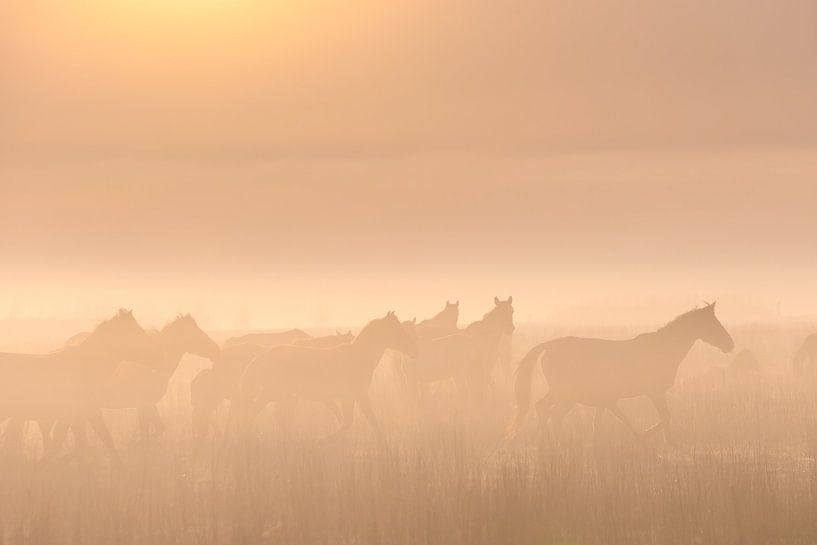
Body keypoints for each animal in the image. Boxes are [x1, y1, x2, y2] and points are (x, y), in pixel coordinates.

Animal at [0, 309, 153, 463]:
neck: (84, 367)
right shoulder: (82, 413)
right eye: (136, 332)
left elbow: (89, 443)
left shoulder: (83, 414)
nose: (155, 354)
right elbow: (80, 444)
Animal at [232, 311, 417, 441]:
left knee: (275, 417)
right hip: (272, 393)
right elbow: (348, 422)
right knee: (252, 411)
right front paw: (323, 441)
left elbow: (370, 420)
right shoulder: (351, 395)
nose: (414, 349)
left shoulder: (358, 395)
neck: (357, 358)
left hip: (281, 395)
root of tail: (262, 356)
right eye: (397, 330)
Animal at [509, 302, 734, 444]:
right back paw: (557, 442)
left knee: (543, 408)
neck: (662, 349)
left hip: (560, 393)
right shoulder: (655, 392)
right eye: (713, 323)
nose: (730, 345)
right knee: (551, 413)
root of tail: (549, 345)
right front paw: (655, 437)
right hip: (566, 394)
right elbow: (666, 417)